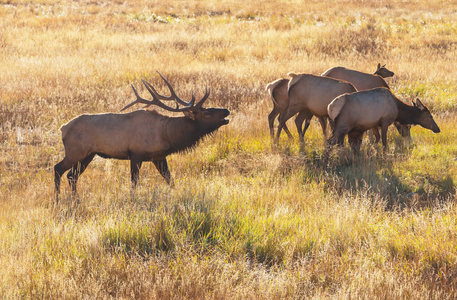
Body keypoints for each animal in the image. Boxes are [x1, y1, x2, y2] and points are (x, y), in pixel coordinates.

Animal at [54, 72, 230, 200]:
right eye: (206, 113)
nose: (226, 111)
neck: (166, 135)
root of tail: (63, 128)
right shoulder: (136, 154)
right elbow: (134, 182)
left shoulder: (159, 157)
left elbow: (170, 179)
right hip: (75, 151)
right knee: (58, 169)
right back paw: (57, 200)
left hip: (88, 155)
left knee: (72, 176)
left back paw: (76, 200)